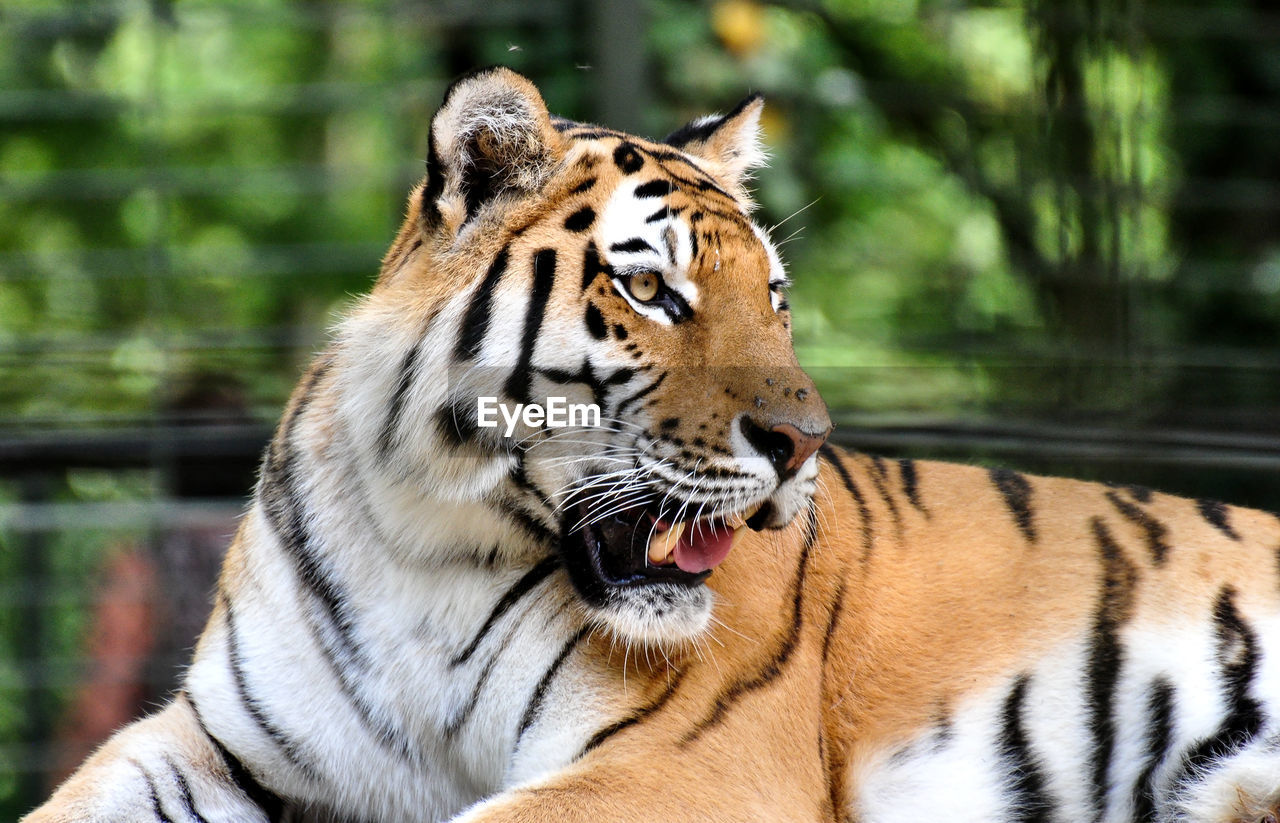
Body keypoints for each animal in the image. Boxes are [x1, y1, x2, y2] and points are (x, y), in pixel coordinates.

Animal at [22, 65, 1280, 823]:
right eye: (651, 291)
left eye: (773, 299)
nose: (804, 442)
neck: (423, 546)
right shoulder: (209, 741)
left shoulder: (688, 758)